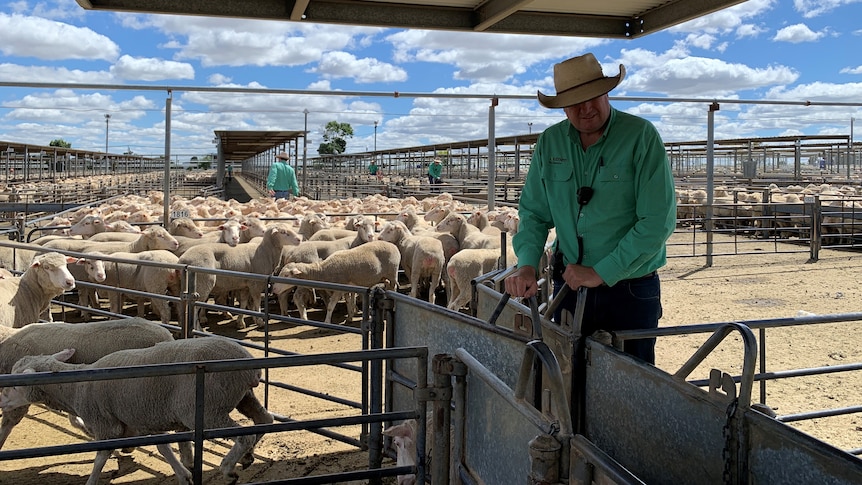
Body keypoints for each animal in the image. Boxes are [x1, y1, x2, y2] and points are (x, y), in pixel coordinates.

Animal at [0, 334, 274, 484]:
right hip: (242, 397)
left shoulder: (106, 425)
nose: (1, 401)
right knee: (264, 419)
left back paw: (228, 469)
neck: (78, 386)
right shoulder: (141, 418)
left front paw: (91, 480)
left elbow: (100, 458)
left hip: (208, 408)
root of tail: (249, 367)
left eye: (15, 385)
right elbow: (163, 448)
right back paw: (248, 455)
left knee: (244, 434)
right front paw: (183, 474)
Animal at [274, 240, 402, 324]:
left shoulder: (339, 289)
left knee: (394, 289)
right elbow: (349, 301)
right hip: (385, 277)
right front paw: (350, 316)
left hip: (392, 274)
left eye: (286, 275)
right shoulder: (346, 288)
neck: (323, 271)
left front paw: (326, 322)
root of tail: (393, 245)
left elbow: (331, 306)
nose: (274, 288)